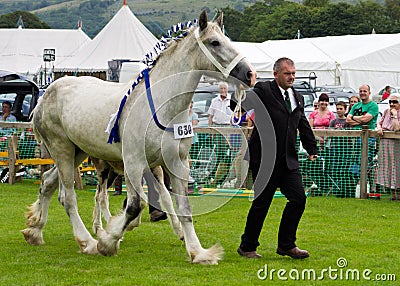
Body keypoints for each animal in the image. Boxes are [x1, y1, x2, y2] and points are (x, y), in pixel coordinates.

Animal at [22, 11, 256, 266]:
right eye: (214, 42)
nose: (250, 74)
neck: (162, 106)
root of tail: (46, 95)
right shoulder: (133, 163)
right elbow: (136, 205)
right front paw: (108, 241)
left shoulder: (176, 163)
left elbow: (183, 207)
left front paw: (198, 252)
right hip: (62, 149)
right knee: (68, 197)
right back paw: (87, 242)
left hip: (77, 151)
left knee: (47, 183)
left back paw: (35, 231)